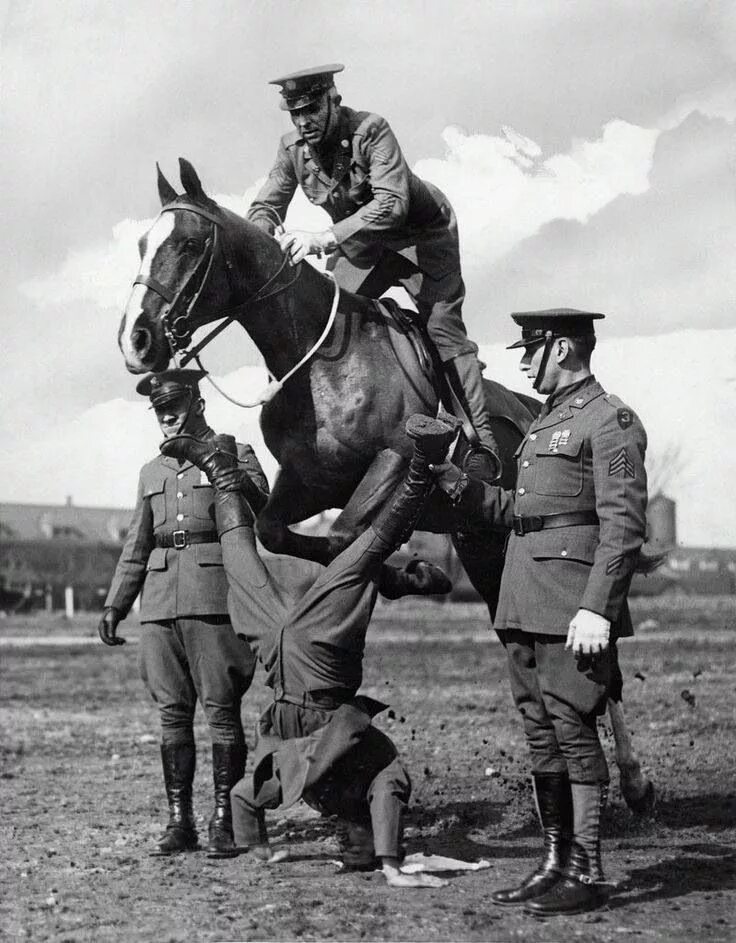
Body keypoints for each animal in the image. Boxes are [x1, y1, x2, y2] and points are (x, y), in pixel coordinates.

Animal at [118, 159, 652, 816]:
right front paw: (407, 576)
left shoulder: (392, 462)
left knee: (602, 657)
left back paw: (633, 778)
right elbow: (280, 530)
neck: (322, 360)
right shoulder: (307, 483)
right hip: (487, 547)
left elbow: (348, 533)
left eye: (190, 244)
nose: (136, 339)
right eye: (142, 244)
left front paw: (400, 576)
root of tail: (537, 409)